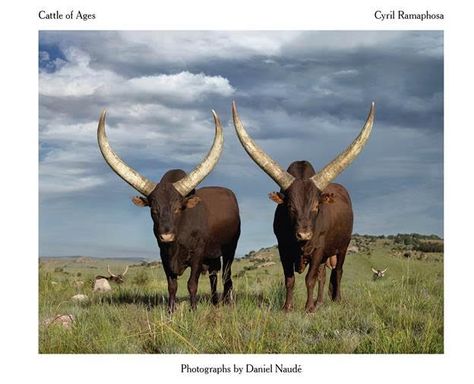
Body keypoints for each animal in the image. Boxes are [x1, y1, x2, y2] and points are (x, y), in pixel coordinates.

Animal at [97, 110, 241, 312]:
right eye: (154, 209)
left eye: (178, 208)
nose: (166, 236)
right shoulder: (164, 256)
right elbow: (172, 285)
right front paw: (171, 310)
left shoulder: (198, 254)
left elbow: (192, 283)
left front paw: (193, 309)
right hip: (212, 256)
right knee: (214, 275)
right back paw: (214, 302)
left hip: (229, 249)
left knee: (226, 276)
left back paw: (227, 302)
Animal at [232, 100, 374, 310]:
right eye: (290, 206)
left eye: (316, 206)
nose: (304, 234)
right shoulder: (283, 249)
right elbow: (290, 280)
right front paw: (288, 307)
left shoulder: (319, 249)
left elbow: (310, 279)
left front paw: (308, 308)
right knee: (323, 275)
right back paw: (320, 301)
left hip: (343, 246)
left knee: (337, 272)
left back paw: (335, 299)